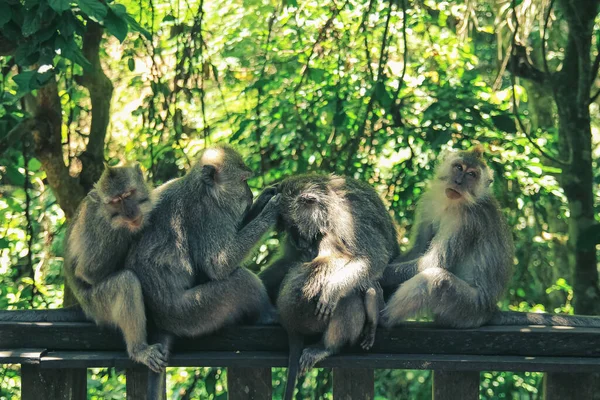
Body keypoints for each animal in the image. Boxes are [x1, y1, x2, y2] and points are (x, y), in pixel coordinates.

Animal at [124, 144, 278, 344]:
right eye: (243, 180)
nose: (251, 195)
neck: (204, 189)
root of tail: (162, 322)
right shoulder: (207, 215)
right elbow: (218, 265)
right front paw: (269, 211)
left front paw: (264, 199)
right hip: (194, 313)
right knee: (240, 280)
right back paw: (268, 315)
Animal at [258, 174, 396, 400]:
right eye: (288, 227)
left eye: (294, 226)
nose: (298, 242)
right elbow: (289, 261)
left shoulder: (346, 221)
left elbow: (373, 259)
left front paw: (333, 290)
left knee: (351, 295)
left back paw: (328, 346)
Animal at [382, 145, 600, 330]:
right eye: (459, 167)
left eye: (472, 174)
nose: (458, 182)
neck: (451, 204)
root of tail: (490, 311)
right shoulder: (427, 202)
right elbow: (419, 248)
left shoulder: (467, 221)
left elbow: (433, 262)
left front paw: (382, 274)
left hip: (468, 309)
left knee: (435, 280)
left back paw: (383, 318)